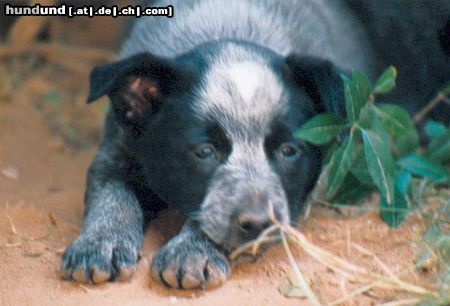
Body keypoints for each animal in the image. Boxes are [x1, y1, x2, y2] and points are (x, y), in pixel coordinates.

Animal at [61, 0, 448, 290]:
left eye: (289, 151)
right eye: (205, 152)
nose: (260, 222)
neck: (227, 26)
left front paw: (192, 250)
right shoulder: (118, 146)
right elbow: (111, 192)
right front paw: (98, 243)